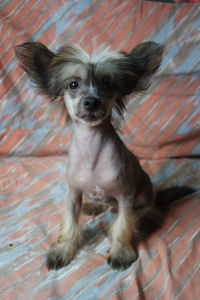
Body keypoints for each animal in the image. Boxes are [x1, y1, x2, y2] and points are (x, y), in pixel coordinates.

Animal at [15, 41, 165, 270]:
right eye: (73, 84)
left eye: (107, 85)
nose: (91, 102)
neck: (91, 152)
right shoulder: (73, 194)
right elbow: (69, 223)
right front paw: (63, 250)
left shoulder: (125, 198)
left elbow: (123, 225)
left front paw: (121, 252)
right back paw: (95, 206)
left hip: (144, 194)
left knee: (149, 210)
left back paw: (146, 219)